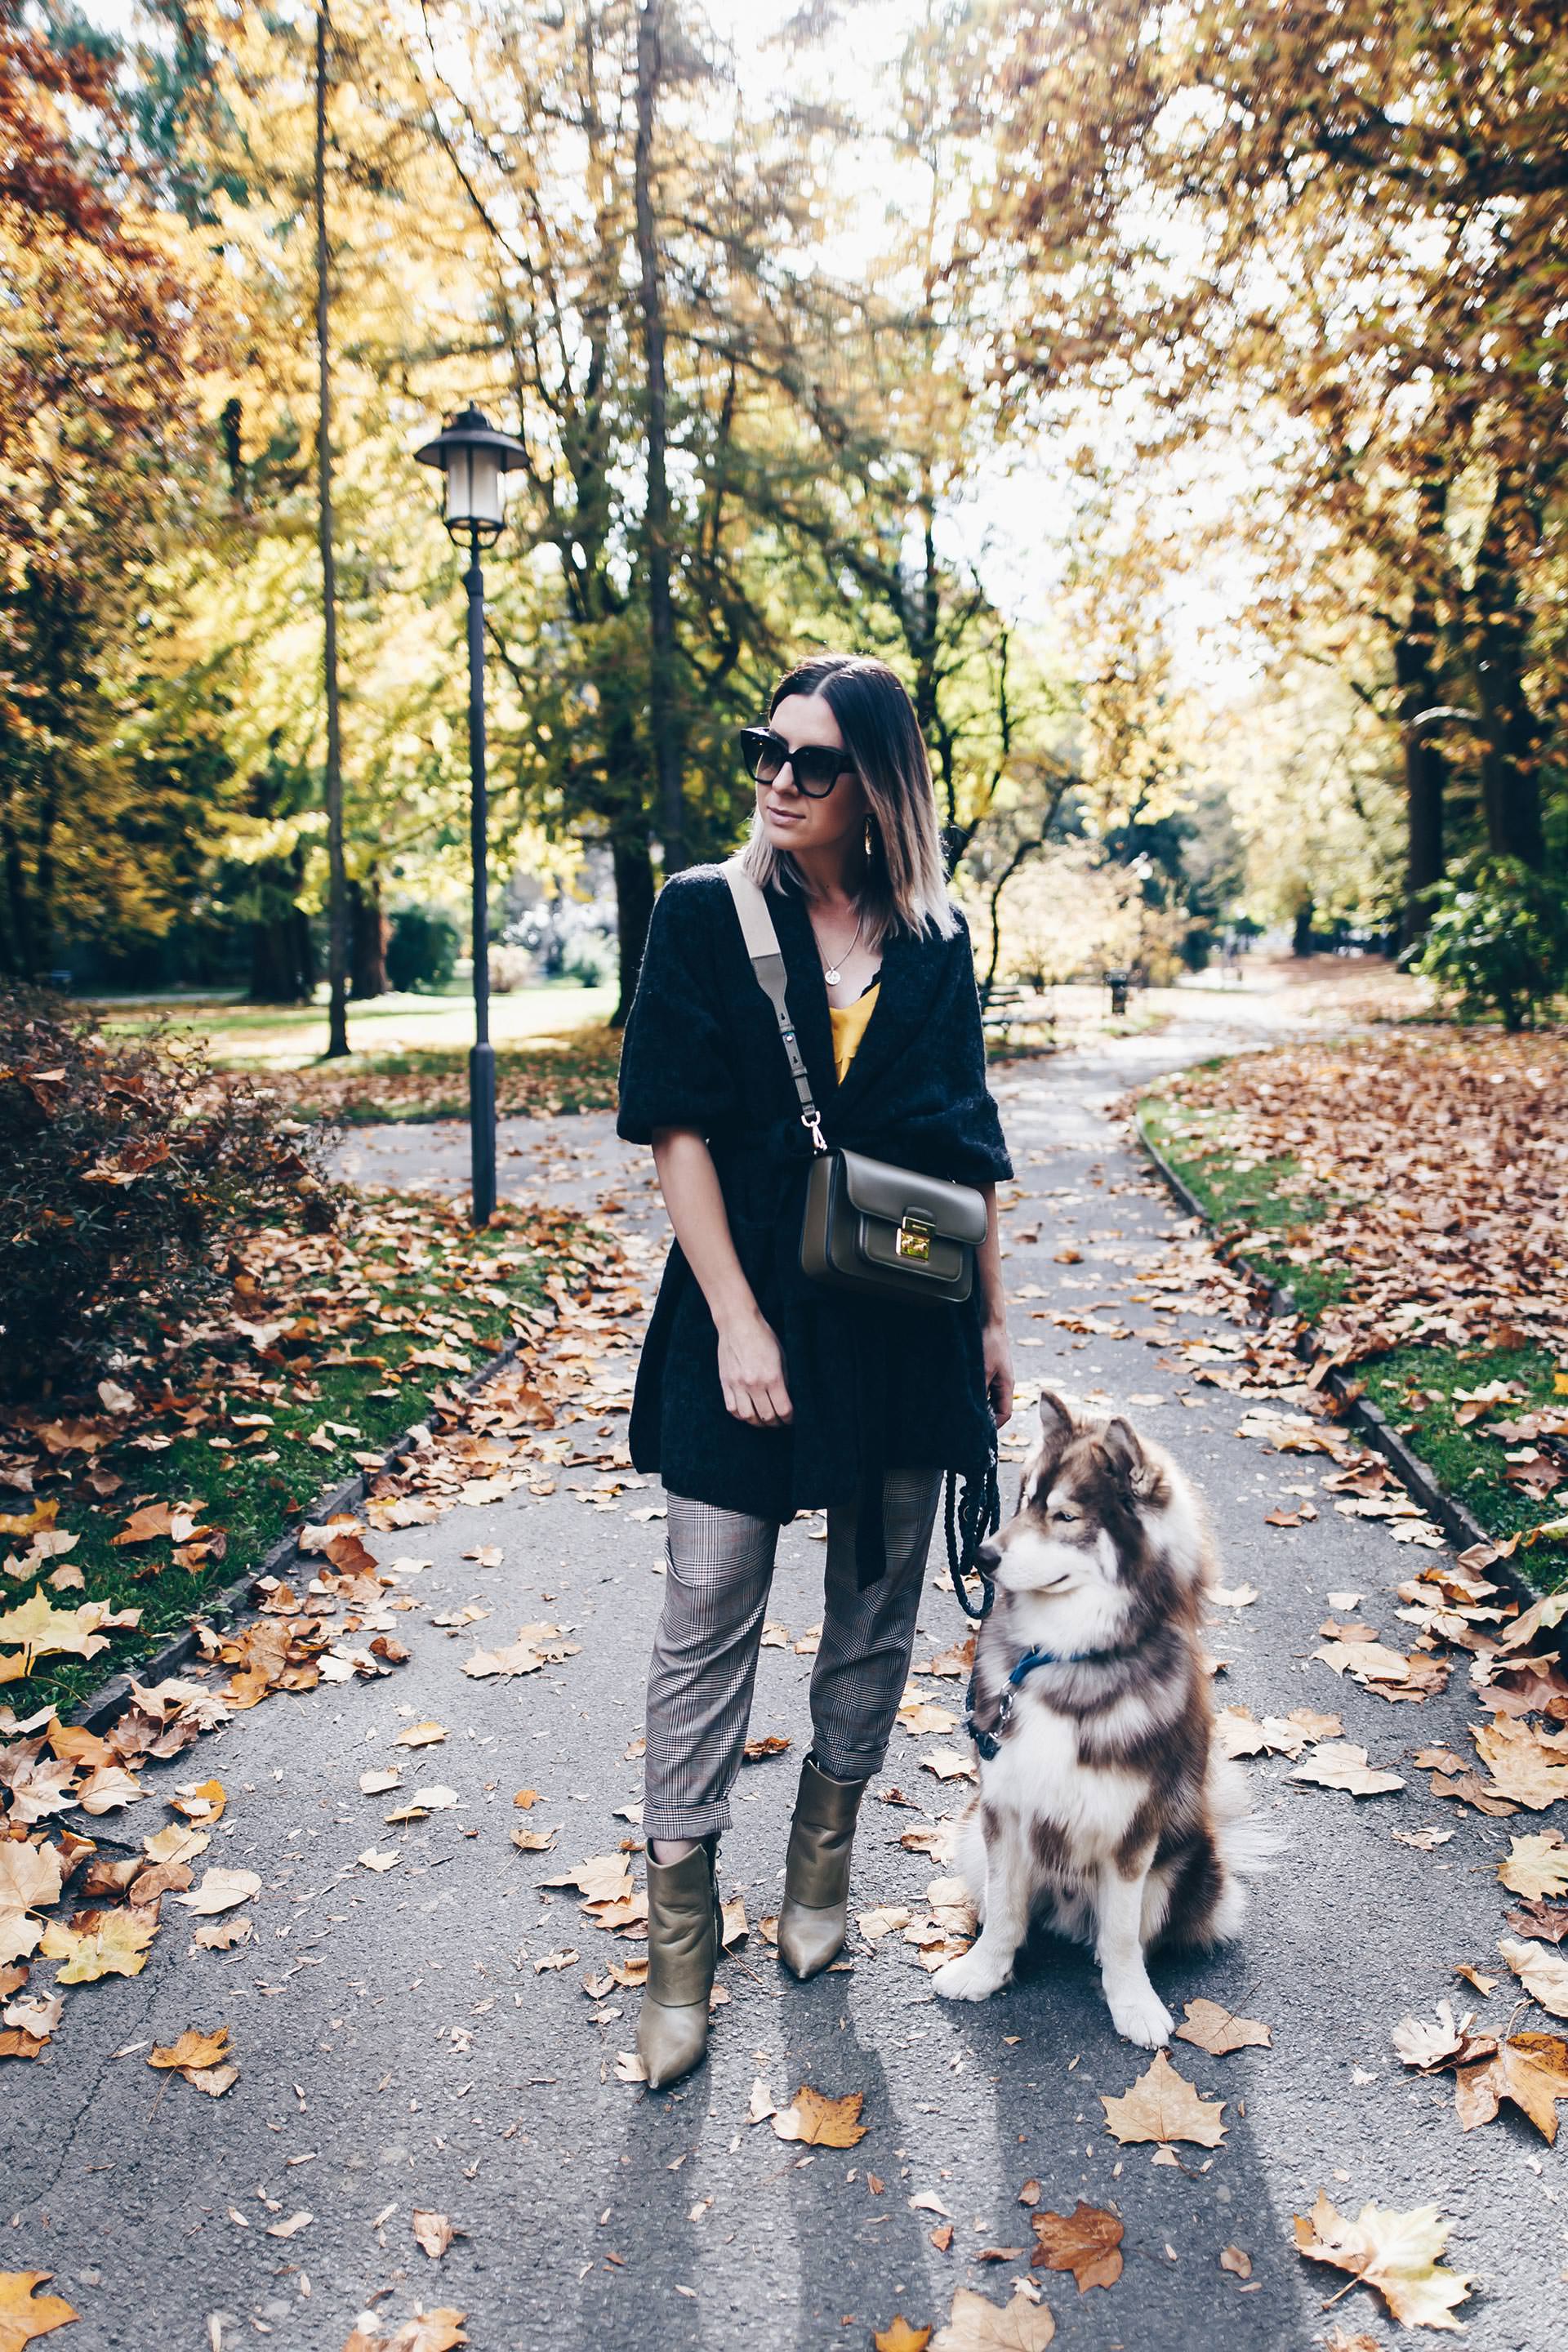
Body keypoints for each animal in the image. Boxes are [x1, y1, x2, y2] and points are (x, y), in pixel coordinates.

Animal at [930, 1392, 1278, 2041]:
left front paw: (1133, 2004)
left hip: (1181, 1868)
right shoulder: (1003, 1811)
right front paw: (984, 1972)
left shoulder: (1132, 1833)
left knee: (1130, 1932)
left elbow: (1120, 1934)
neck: (1067, 1659)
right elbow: (1006, 1910)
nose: (981, 1555)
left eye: (1065, 1517)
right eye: (1023, 1501)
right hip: (968, 1837)